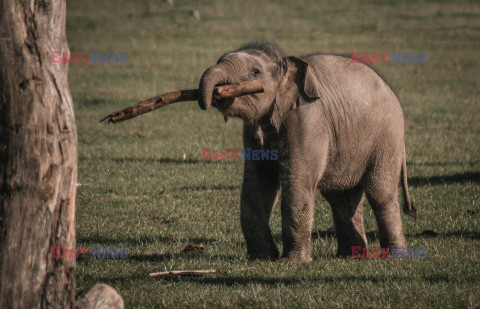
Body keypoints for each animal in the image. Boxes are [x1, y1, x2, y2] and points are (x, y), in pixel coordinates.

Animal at [197, 41, 414, 260]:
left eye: (255, 71)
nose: (211, 98)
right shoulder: (252, 132)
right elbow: (257, 182)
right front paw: (262, 258)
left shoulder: (309, 119)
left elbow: (298, 178)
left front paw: (293, 262)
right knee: (342, 197)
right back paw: (350, 256)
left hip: (387, 138)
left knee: (380, 193)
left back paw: (395, 257)